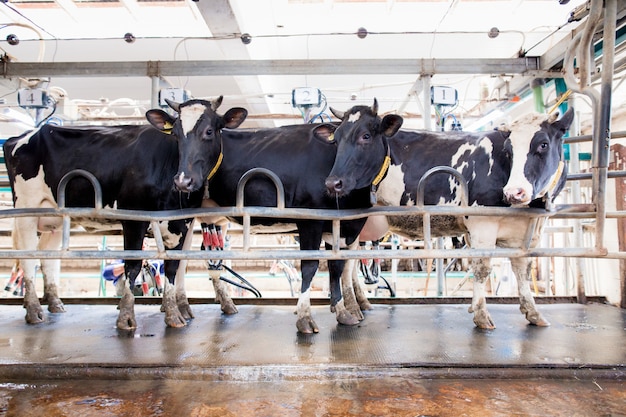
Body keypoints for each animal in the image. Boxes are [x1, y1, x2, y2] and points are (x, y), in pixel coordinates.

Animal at [3, 96, 246, 328]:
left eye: (209, 131)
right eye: (175, 134)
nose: (183, 181)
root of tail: (28, 134)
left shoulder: (182, 221)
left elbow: (174, 266)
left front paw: (173, 313)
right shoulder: (134, 216)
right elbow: (133, 265)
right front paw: (127, 316)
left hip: (55, 217)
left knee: (48, 256)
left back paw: (54, 303)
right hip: (27, 209)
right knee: (28, 257)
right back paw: (33, 310)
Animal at [194, 109, 400, 334]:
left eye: (366, 136)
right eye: (335, 140)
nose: (332, 183)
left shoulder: (340, 225)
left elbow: (336, 267)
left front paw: (342, 312)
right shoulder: (310, 221)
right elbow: (310, 266)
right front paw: (304, 317)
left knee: (208, 255)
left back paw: (225, 303)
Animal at [326, 101, 576, 328]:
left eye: (543, 144)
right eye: (509, 150)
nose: (514, 192)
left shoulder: (527, 230)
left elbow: (523, 269)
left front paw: (532, 312)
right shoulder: (483, 223)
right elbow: (482, 269)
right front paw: (481, 315)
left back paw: (361, 303)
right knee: (345, 265)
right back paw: (352, 308)